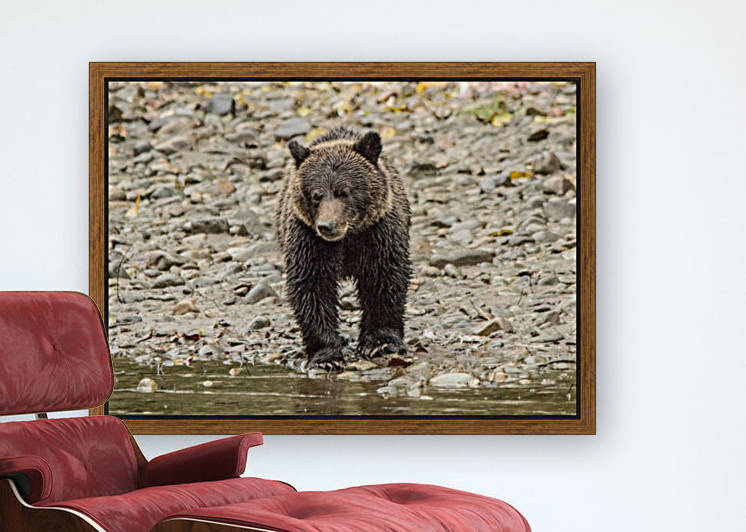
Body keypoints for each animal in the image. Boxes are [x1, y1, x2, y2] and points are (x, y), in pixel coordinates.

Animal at [275, 126, 411, 368]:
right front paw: (326, 355)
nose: (327, 225)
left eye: (344, 191)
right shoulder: (309, 240)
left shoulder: (378, 233)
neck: (348, 237)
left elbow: (384, 279)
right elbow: (312, 286)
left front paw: (380, 342)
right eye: (317, 195)